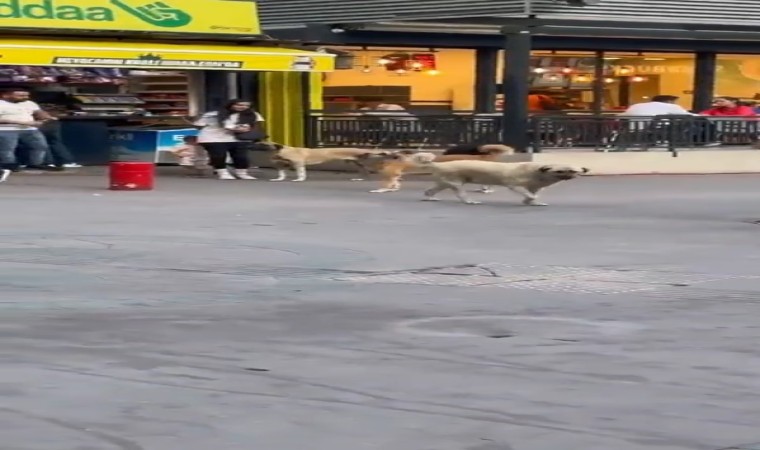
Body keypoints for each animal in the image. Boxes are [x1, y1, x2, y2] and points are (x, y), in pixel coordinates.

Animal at [266, 142, 394, 181]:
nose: (271, 159)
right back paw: (360, 178)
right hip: (358, 162)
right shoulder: (287, 164)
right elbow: (282, 172)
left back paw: (387, 152)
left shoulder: (298, 164)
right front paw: (279, 178)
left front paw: (299, 179)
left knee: (375, 155)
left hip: (364, 157)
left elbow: (301, 173)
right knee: (364, 171)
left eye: (275, 155)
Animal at [372, 144, 512, 193]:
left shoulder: (391, 175)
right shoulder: (395, 176)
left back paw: (486, 190)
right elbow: (394, 184)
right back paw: (484, 189)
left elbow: (387, 185)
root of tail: (483, 155)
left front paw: (380, 190)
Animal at [410, 152, 588, 207]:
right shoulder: (515, 185)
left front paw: (532, 202)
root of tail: (438, 164)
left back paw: (430, 198)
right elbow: (529, 194)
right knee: (461, 194)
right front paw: (530, 200)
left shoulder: (534, 187)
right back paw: (469, 201)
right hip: (456, 183)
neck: (538, 171)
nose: (569, 176)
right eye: (560, 171)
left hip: (444, 183)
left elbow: (533, 194)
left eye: (573, 171)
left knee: (430, 190)